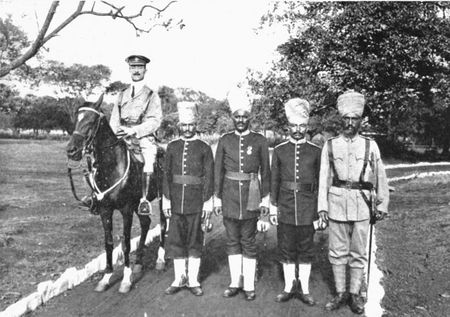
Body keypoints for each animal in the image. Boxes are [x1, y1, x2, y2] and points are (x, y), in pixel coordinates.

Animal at [66, 95, 166, 292]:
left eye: (92, 121)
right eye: (76, 120)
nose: (71, 150)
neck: (112, 167)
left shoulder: (126, 210)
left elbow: (126, 244)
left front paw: (126, 280)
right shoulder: (105, 210)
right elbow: (109, 243)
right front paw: (106, 277)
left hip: (163, 199)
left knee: (164, 225)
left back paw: (160, 259)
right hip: (139, 205)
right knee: (146, 224)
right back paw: (138, 264)